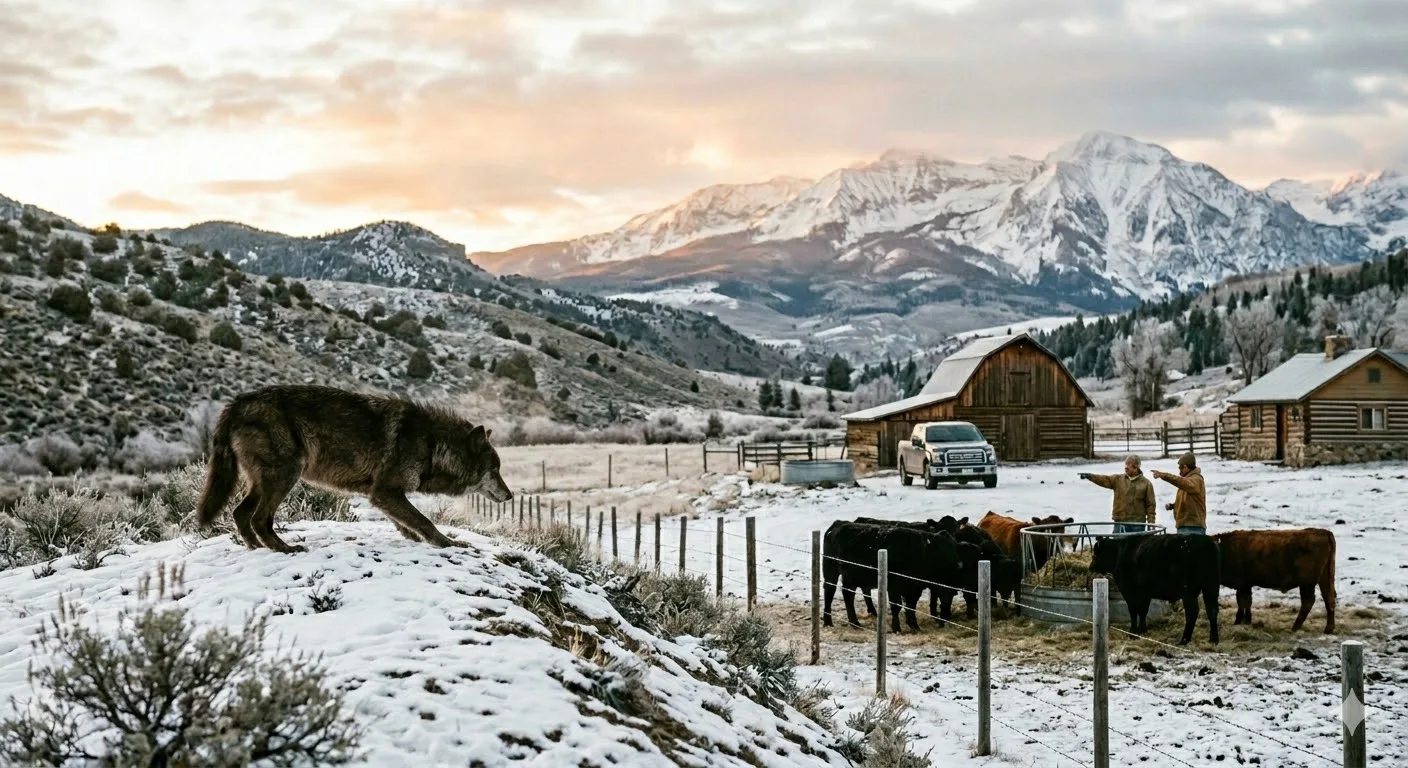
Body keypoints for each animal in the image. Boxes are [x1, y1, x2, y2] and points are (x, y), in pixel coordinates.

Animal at [195, 384, 513, 553]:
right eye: (495, 469)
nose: (510, 496)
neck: (433, 444)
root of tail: (237, 403)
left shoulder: (382, 495)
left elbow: (407, 523)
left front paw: (419, 539)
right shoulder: (386, 492)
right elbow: (425, 521)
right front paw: (449, 544)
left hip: (263, 482)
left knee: (240, 513)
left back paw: (257, 548)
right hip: (286, 475)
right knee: (260, 518)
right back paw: (285, 549)